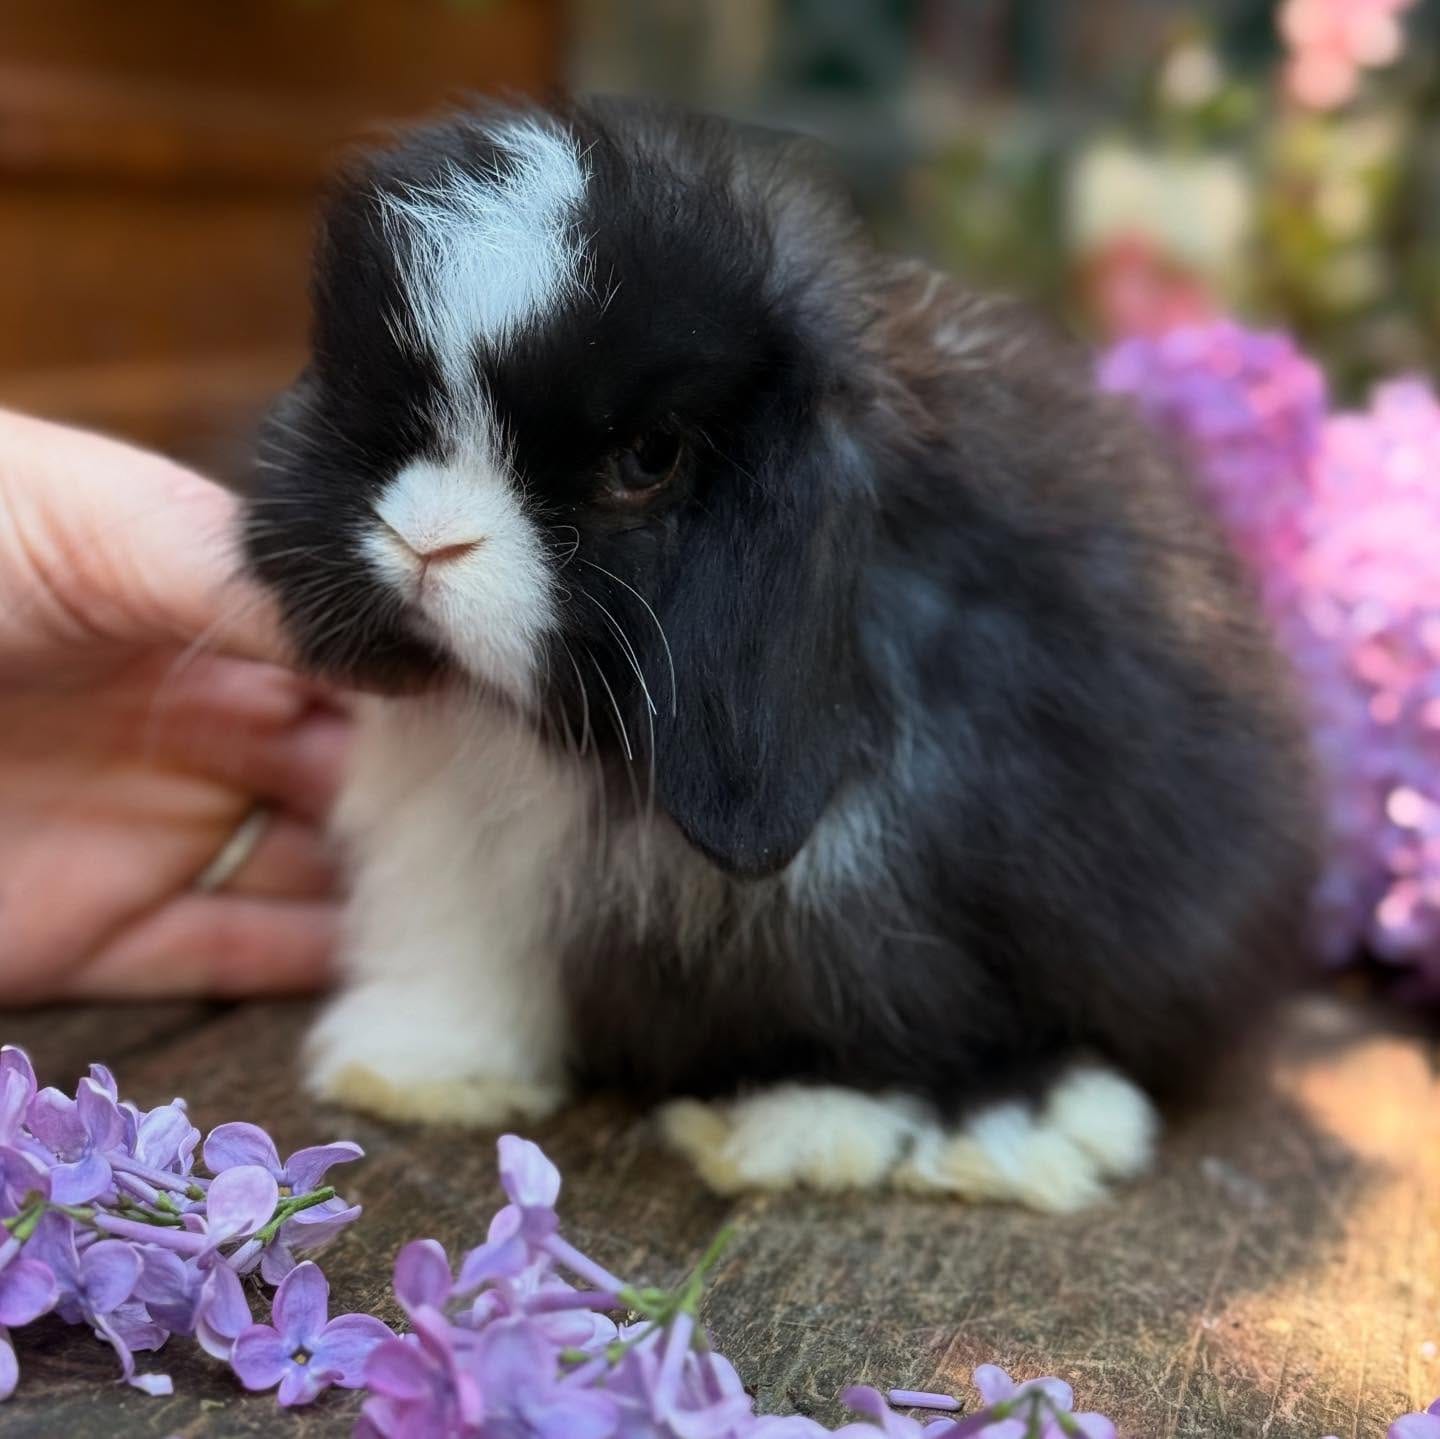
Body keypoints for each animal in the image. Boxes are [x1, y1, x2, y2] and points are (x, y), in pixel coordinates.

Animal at [241, 95, 1319, 1211]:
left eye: (648, 457)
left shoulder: (898, 882)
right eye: (370, 393)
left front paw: (813, 1124)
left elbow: (898, 1007)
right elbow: (464, 942)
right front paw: (413, 1069)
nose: (426, 540)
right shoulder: (458, 841)